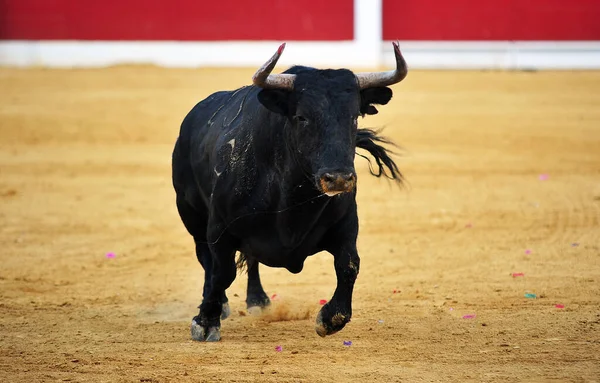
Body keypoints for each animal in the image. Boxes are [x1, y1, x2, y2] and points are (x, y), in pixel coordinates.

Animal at [173, 42, 408, 342]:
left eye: (354, 117)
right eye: (301, 117)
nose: (338, 179)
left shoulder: (346, 225)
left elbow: (349, 265)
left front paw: (330, 319)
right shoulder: (219, 228)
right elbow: (221, 272)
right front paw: (205, 322)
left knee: (250, 260)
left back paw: (258, 300)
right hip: (190, 213)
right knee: (206, 259)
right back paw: (221, 305)